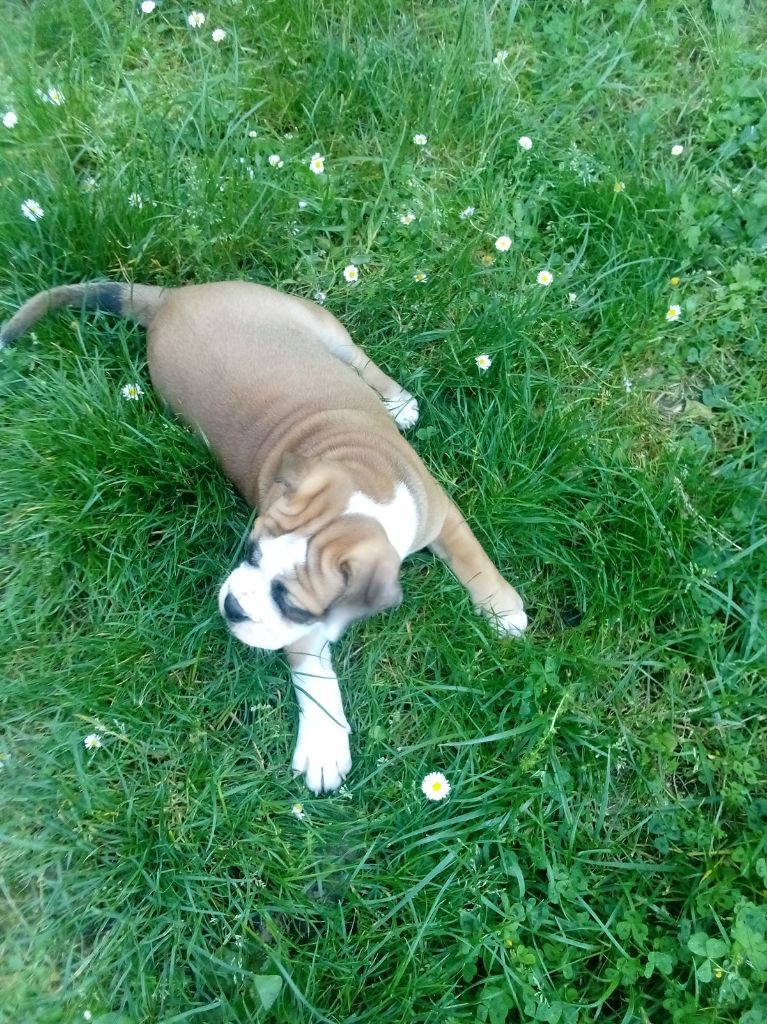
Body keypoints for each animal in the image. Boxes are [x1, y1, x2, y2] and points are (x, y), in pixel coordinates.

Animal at [1, 281, 527, 793]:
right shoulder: (303, 628)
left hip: (319, 325)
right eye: (250, 550)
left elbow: (472, 556)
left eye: (290, 601)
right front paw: (324, 744)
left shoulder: (438, 512)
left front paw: (501, 609)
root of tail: (175, 298)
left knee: (358, 358)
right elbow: (314, 674)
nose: (232, 607)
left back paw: (395, 403)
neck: (359, 496)